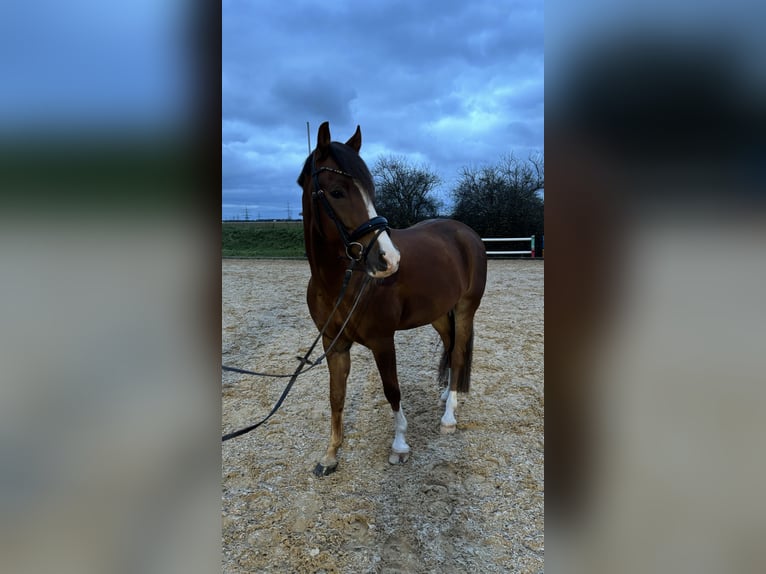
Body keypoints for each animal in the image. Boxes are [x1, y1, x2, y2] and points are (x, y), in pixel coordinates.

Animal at [296, 121, 488, 476]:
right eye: (337, 192)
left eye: (371, 192)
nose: (389, 259)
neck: (341, 283)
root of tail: (466, 233)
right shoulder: (334, 344)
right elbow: (336, 396)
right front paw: (330, 454)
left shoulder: (383, 341)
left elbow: (392, 390)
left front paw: (400, 445)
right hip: (439, 314)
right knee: (450, 345)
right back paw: (445, 396)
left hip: (465, 309)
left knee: (457, 356)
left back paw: (449, 417)